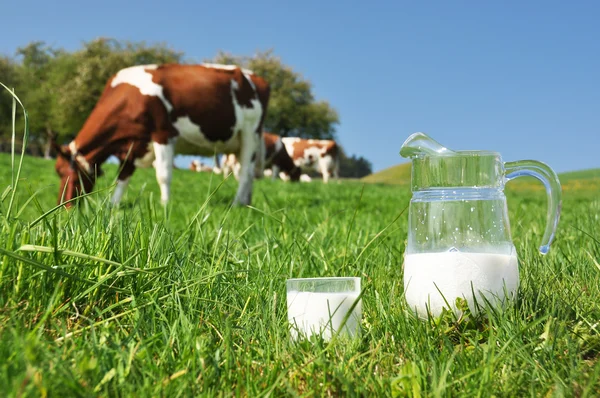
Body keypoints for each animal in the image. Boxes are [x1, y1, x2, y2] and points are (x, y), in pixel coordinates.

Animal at [54, 63, 270, 207]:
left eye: (69, 174)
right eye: (58, 173)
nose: (65, 206)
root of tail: (255, 77)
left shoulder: (163, 134)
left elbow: (163, 175)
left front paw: (165, 205)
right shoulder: (134, 145)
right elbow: (123, 177)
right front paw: (113, 205)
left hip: (250, 132)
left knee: (245, 172)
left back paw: (236, 203)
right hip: (237, 142)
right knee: (247, 172)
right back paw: (246, 202)